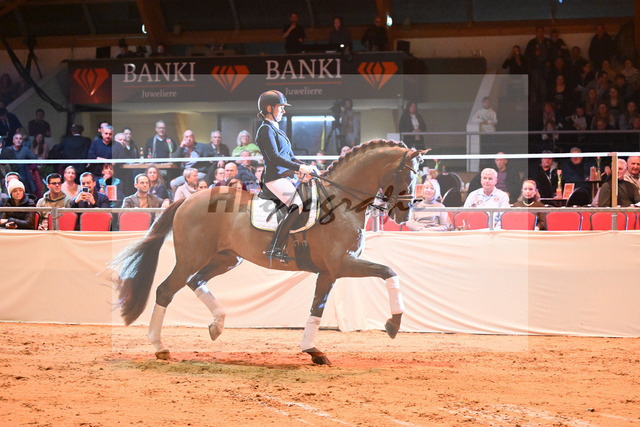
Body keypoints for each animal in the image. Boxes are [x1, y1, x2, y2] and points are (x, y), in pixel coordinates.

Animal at [110, 140, 423, 365]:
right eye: (406, 173)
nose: (403, 214)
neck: (340, 204)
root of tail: (186, 201)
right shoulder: (340, 265)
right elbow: (387, 272)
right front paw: (393, 324)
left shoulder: (330, 271)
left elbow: (319, 308)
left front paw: (313, 350)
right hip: (191, 258)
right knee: (166, 290)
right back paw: (160, 347)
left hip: (226, 258)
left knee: (194, 282)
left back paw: (217, 325)